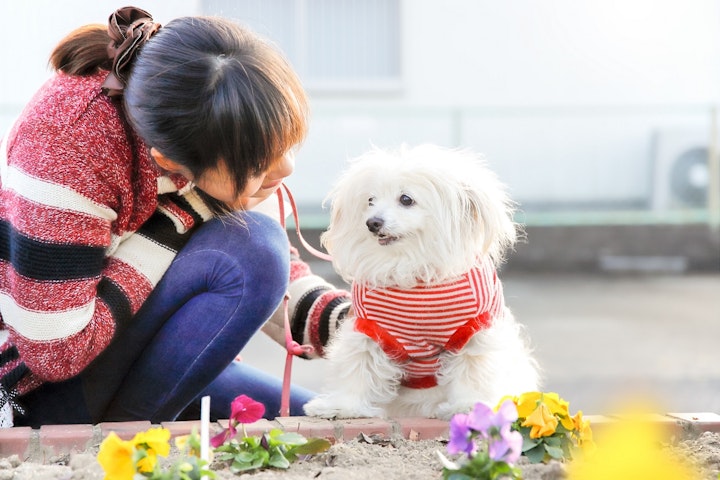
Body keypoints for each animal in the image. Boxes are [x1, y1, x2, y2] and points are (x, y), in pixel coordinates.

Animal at [300, 144, 536, 418]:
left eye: (406, 199)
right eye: (370, 200)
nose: (372, 222)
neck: (412, 268)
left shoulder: (474, 330)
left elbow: (473, 370)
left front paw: (468, 405)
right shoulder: (370, 329)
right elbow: (357, 367)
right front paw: (342, 406)